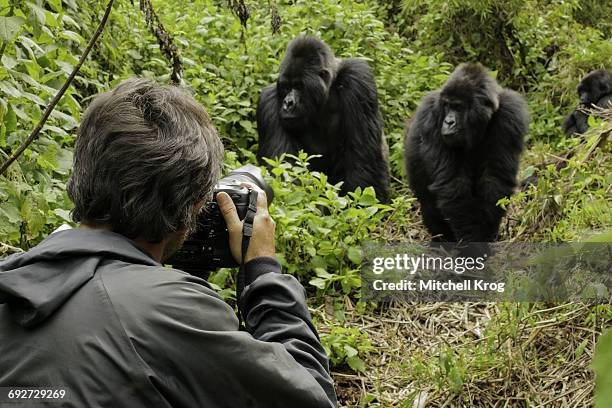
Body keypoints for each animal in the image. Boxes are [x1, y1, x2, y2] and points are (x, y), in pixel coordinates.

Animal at [256, 34, 390, 202]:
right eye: (286, 86)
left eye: (299, 86)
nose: (288, 103)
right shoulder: (268, 101)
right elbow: (282, 170)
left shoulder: (358, 79)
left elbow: (363, 160)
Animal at [404, 63, 528, 253]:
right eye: (447, 106)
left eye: (458, 107)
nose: (448, 122)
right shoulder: (431, 114)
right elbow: (452, 185)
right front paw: (473, 246)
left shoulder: (510, 113)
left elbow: (494, 179)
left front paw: (485, 235)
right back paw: (442, 240)